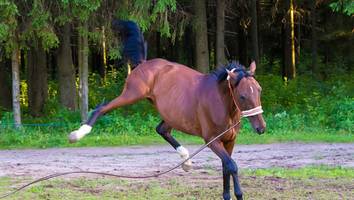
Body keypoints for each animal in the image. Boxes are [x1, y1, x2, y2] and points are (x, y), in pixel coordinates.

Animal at [68, 19, 266, 200]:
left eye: (259, 90)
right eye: (242, 96)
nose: (261, 128)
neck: (221, 103)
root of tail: (143, 63)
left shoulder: (229, 140)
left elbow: (226, 167)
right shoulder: (212, 140)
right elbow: (231, 165)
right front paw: (238, 194)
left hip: (171, 114)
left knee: (161, 129)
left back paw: (186, 161)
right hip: (132, 94)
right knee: (101, 109)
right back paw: (78, 134)